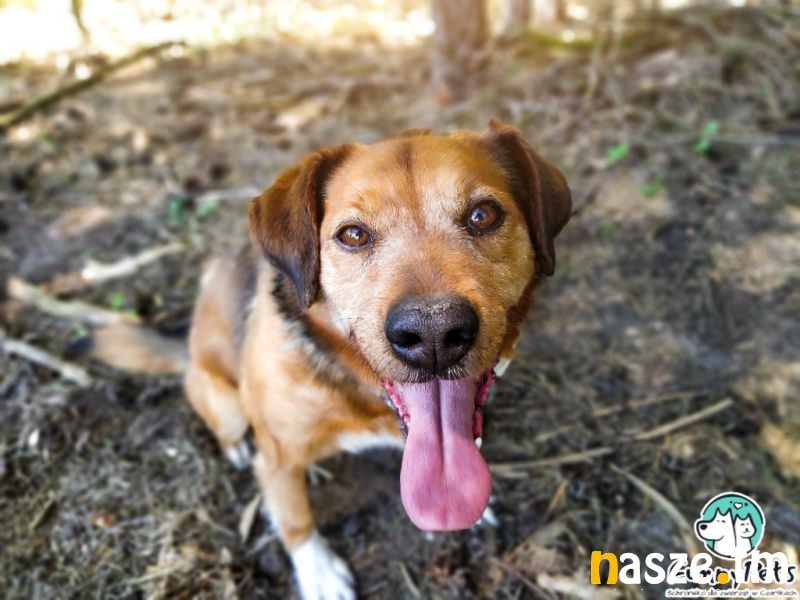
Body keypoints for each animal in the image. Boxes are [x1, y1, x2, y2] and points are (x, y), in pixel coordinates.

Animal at [93, 120, 572, 599]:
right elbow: (294, 517)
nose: (433, 334)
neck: (358, 391)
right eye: (353, 235)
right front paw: (318, 571)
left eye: (483, 215)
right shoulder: (277, 459)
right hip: (224, 403)